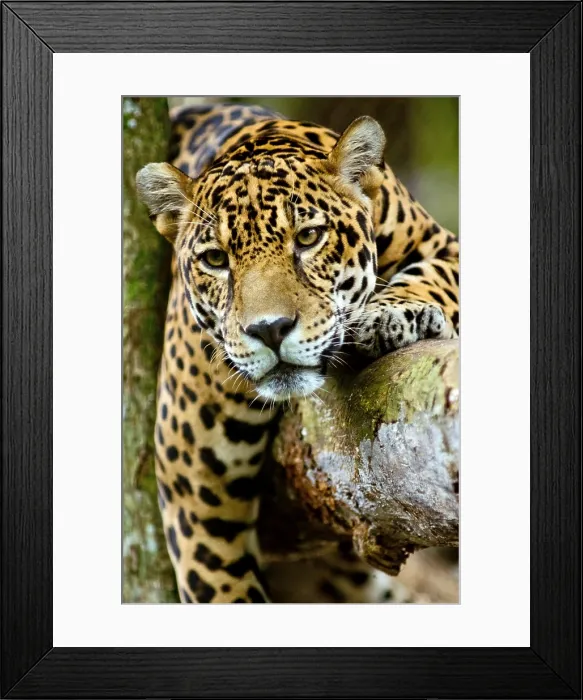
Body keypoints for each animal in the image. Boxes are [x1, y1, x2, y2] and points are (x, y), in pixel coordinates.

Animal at [136, 102, 459, 603]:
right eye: (215, 260)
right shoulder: (195, 496)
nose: (269, 330)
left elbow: (434, 277)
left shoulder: (443, 244)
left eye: (308, 238)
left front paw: (392, 314)